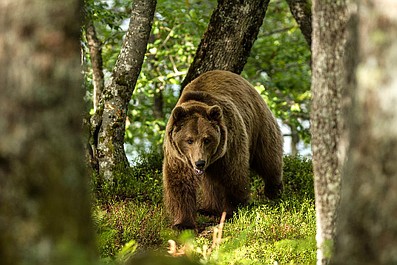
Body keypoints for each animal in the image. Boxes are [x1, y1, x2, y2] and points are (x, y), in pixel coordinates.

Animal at [162, 70, 284, 229]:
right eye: (189, 140)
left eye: (207, 139)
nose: (199, 163)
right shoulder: (178, 156)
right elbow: (180, 183)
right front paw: (183, 223)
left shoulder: (229, 146)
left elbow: (233, 176)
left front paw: (232, 211)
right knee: (211, 183)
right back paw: (209, 209)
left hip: (259, 123)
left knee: (268, 157)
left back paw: (274, 191)